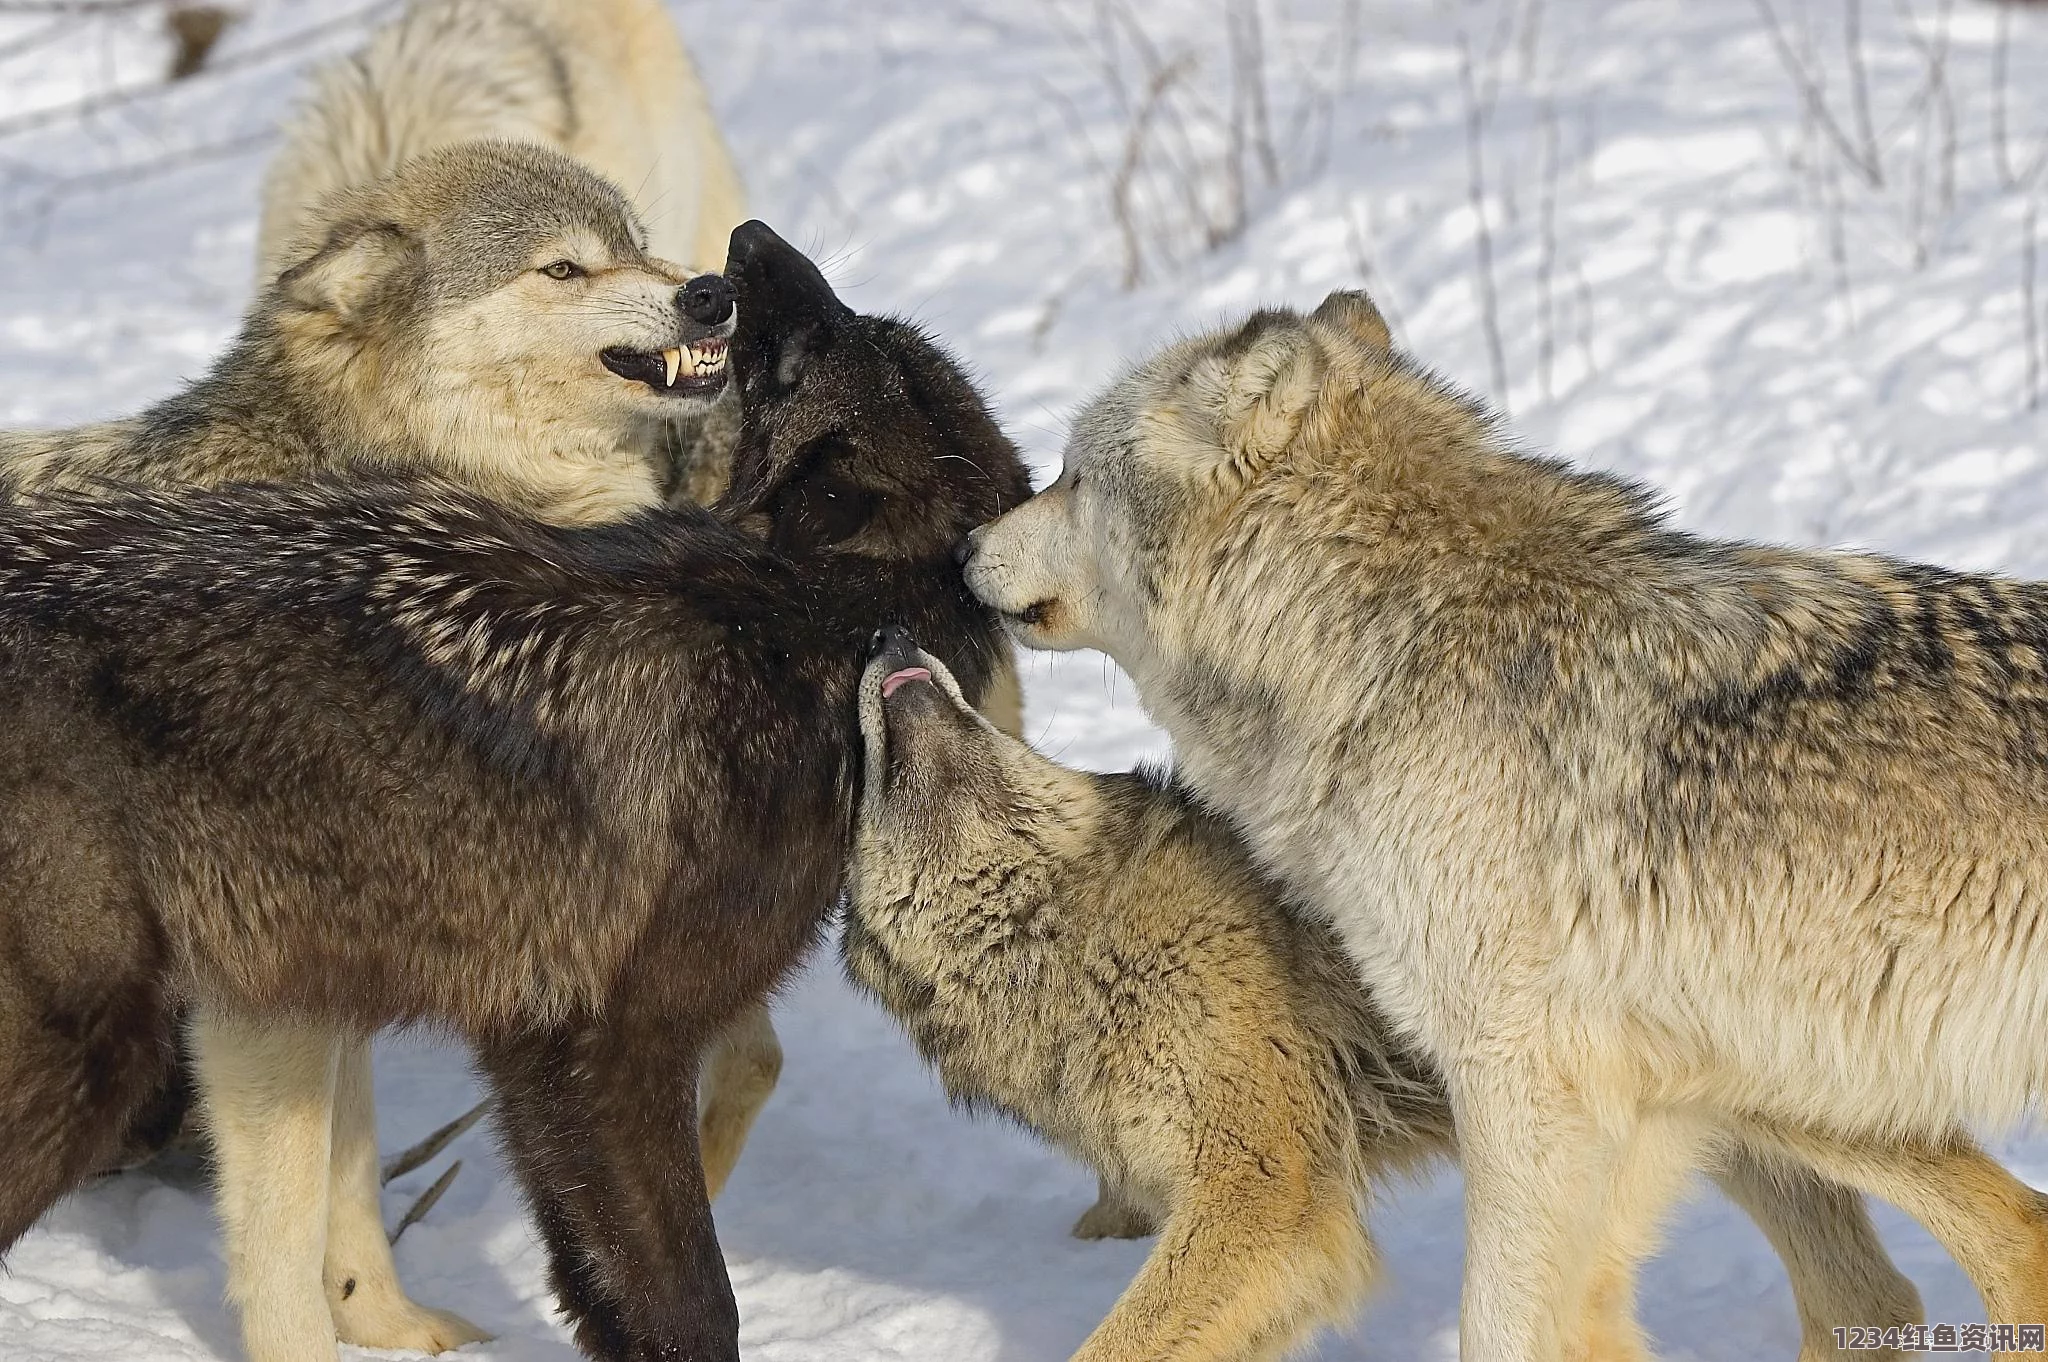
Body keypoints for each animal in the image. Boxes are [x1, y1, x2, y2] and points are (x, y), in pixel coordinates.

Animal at [0, 223, 1024, 1359]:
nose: (744, 247)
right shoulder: (598, 1046)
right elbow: (691, 1304)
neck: (808, 625)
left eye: (824, 343)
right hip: (100, 1058)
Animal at [962, 288, 2048, 1359]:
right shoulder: (1631, 1108)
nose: (963, 546)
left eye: (1068, 475)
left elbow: (1498, 1324)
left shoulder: (1519, 1086)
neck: (1384, 647)